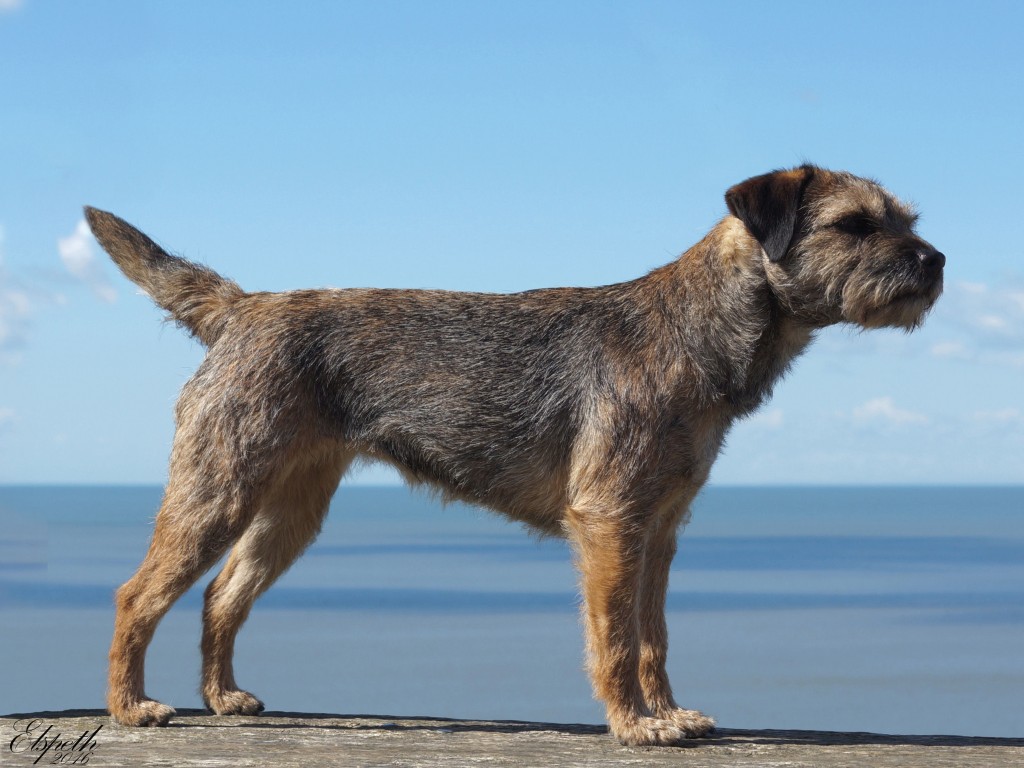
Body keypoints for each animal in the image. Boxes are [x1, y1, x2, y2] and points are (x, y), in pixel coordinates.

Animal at [85, 164, 943, 746]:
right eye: (855, 225)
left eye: (905, 219)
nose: (934, 261)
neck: (696, 328)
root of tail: (243, 308)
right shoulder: (611, 521)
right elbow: (616, 636)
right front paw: (635, 726)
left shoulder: (659, 531)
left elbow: (655, 634)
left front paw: (667, 712)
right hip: (217, 489)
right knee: (138, 594)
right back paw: (129, 707)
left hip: (289, 510)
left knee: (221, 595)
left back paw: (221, 695)